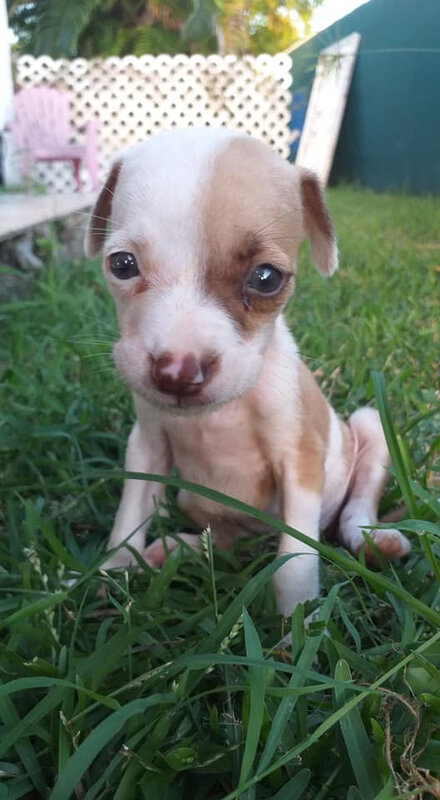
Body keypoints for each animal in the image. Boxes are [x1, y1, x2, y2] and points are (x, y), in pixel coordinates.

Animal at [86, 130, 410, 620]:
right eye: (122, 265)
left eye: (266, 278)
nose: (177, 371)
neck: (223, 414)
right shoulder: (146, 445)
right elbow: (128, 518)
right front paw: (106, 579)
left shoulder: (299, 462)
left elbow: (294, 561)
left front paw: (300, 623)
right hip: (196, 499)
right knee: (221, 543)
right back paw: (175, 549)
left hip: (368, 428)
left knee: (354, 511)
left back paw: (374, 543)